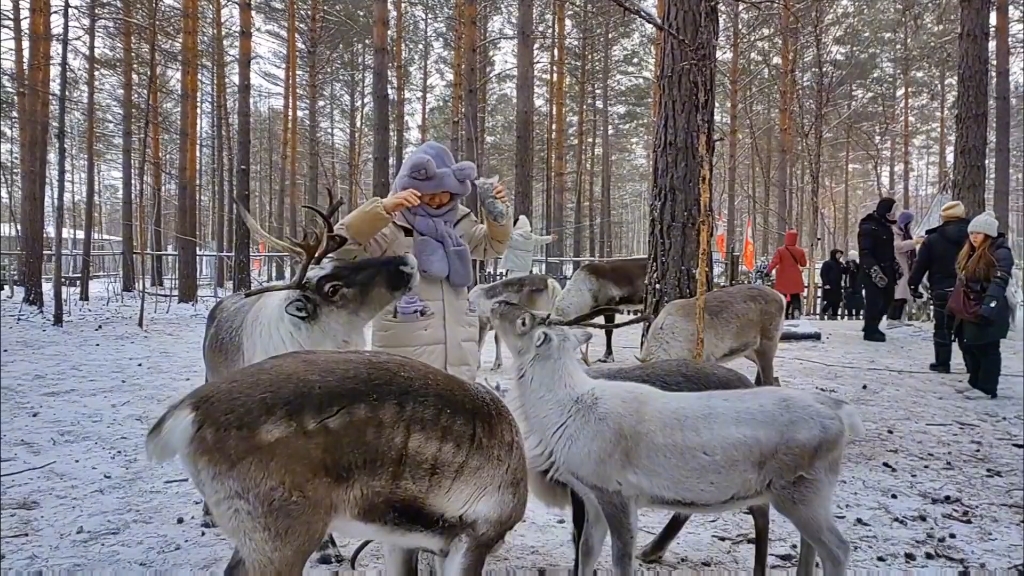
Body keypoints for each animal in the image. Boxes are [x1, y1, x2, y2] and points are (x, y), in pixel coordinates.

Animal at [490, 300, 864, 576]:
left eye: (523, 320)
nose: (497, 302)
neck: (564, 414)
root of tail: (842, 416)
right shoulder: (590, 492)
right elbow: (586, 552)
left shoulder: (616, 491)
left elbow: (619, 559)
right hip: (805, 492)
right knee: (810, 543)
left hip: (801, 489)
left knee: (838, 548)